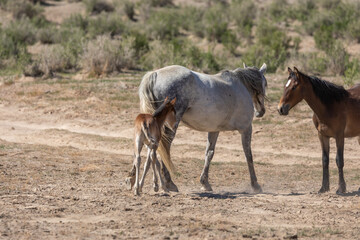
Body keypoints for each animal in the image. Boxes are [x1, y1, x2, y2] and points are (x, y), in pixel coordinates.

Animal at [129, 63, 268, 193]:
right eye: (265, 84)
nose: (261, 112)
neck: (241, 87)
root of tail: (155, 73)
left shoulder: (214, 130)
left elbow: (209, 153)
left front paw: (205, 182)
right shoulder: (246, 129)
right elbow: (248, 155)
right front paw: (255, 184)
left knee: (148, 150)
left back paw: (135, 179)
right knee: (164, 149)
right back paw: (168, 183)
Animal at [278, 66, 360, 194]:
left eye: (294, 87)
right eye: (285, 86)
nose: (280, 109)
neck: (329, 107)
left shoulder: (339, 136)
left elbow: (339, 160)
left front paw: (341, 188)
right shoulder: (322, 136)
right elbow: (325, 160)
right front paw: (323, 188)